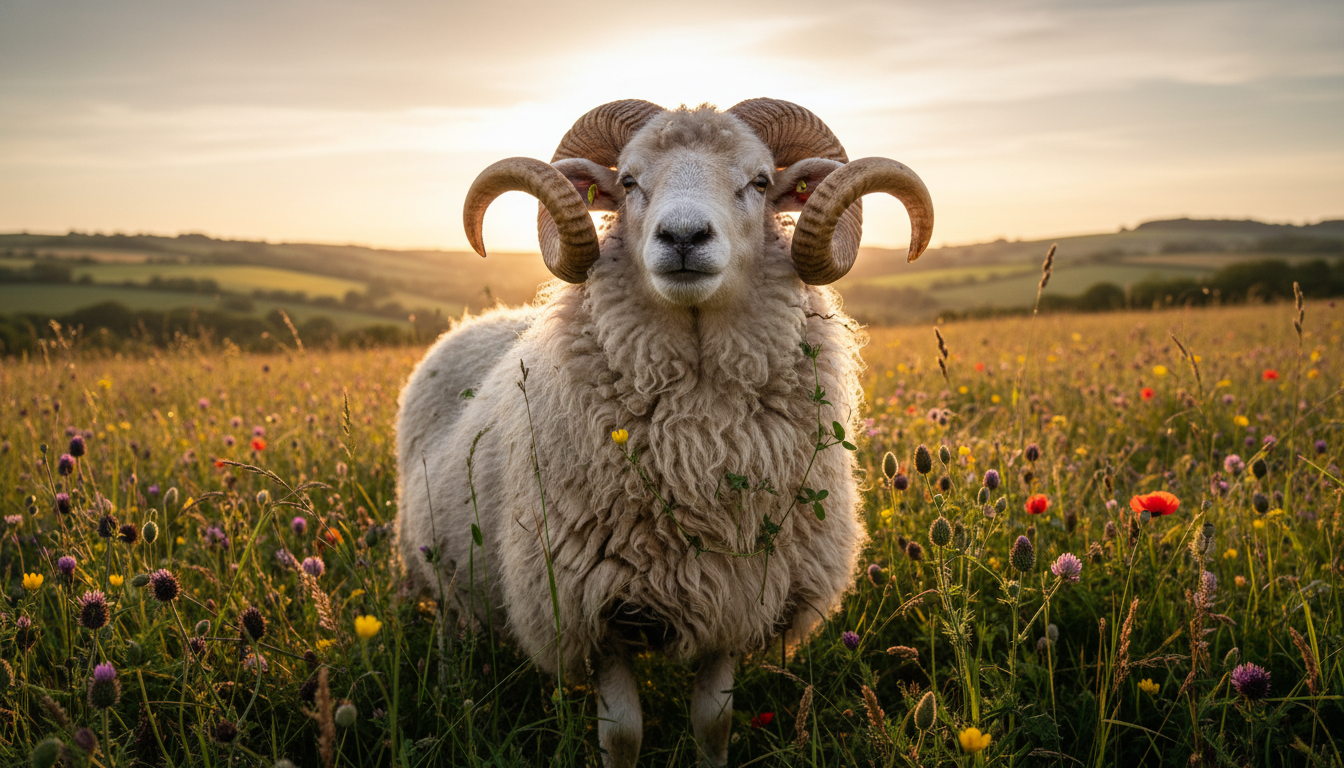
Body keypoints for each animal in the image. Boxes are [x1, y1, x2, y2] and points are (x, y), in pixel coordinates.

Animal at [395, 98, 933, 767]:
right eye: (628, 181)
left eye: (760, 182)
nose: (682, 237)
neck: (697, 443)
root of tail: (471, 323)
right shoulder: (590, 608)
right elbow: (623, 735)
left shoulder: (735, 595)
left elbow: (714, 723)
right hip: (438, 572)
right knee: (449, 634)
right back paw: (450, 695)